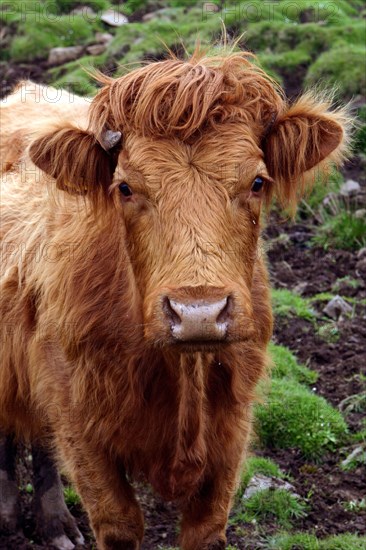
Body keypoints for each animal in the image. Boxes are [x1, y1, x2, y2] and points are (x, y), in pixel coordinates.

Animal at [0, 48, 348, 550]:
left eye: (257, 182)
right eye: (125, 187)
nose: (198, 313)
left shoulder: (231, 433)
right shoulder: (79, 423)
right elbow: (119, 524)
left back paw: (54, 525)